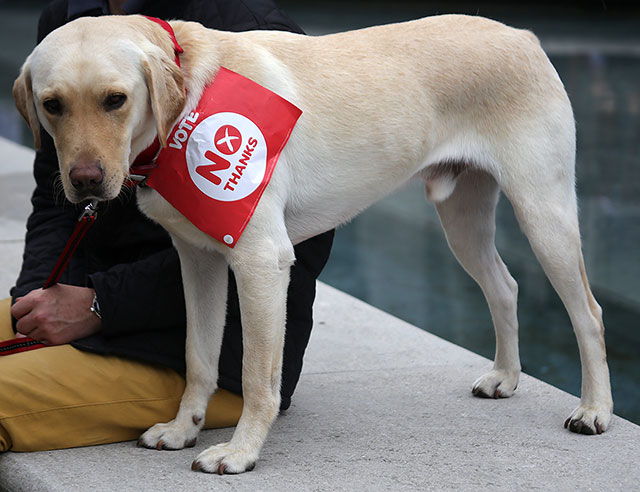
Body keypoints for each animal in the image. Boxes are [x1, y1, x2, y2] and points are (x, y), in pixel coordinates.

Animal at [15, 14, 612, 472]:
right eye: (52, 105)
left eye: (115, 99)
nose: (85, 181)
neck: (187, 104)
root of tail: (521, 35)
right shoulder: (199, 261)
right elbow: (199, 357)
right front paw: (185, 429)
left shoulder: (260, 262)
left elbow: (257, 375)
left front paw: (240, 453)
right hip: (463, 220)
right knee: (505, 288)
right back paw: (506, 377)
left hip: (544, 212)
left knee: (588, 313)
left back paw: (595, 411)